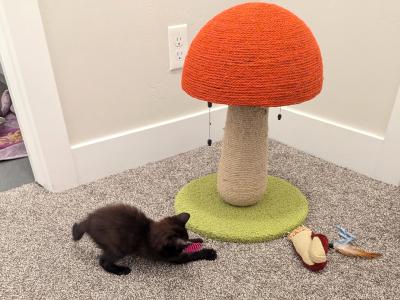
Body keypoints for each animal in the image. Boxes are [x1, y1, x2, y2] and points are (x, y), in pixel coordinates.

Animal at [72, 204, 216, 274]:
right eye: (179, 247)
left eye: (187, 236)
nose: (185, 243)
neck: (151, 232)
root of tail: (88, 222)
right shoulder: (173, 257)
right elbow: (191, 255)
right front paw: (209, 252)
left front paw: (198, 240)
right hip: (119, 248)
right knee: (103, 262)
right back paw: (121, 270)